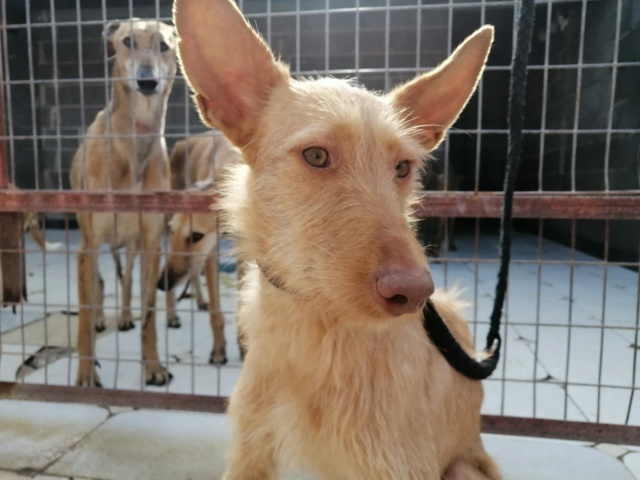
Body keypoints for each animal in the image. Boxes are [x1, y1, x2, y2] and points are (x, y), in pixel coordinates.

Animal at [69, 18, 178, 386]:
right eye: (127, 41)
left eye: (164, 45)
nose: (147, 81)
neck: (133, 145)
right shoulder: (88, 244)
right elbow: (84, 313)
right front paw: (86, 373)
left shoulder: (151, 242)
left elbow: (150, 311)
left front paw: (154, 366)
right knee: (99, 285)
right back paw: (102, 319)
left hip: (132, 245)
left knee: (127, 279)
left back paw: (127, 315)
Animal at [158, 130, 242, 364]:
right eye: (174, 230)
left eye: (196, 235)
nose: (163, 283)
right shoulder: (210, 251)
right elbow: (216, 311)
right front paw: (218, 350)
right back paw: (172, 314)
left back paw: (199, 299)